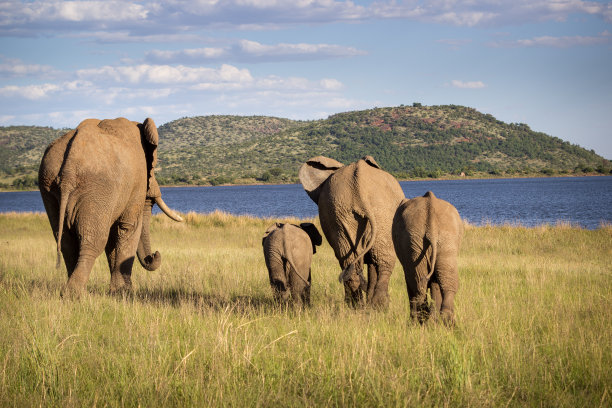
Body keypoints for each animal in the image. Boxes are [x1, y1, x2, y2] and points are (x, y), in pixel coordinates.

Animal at [37, 116, 182, 294]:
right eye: (152, 168)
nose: (155, 254)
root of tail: (69, 168)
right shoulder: (135, 182)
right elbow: (127, 228)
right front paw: (125, 292)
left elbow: (114, 236)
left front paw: (116, 291)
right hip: (97, 187)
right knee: (94, 241)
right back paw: (74, 294)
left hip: (48, 184)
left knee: (65, 242)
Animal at [298, 155, 404, 308]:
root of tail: (359, 188)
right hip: (374, 213)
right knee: (381, 261)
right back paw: (377, 306)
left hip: (344, 214)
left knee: (350, 262)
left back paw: (359, 306)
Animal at [392, 192, 464, 328]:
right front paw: (434, 321)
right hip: (444, 238)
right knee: (444, 278)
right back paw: (447, 322)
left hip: (414, 240)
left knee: (418, 282)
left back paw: (420, 322)